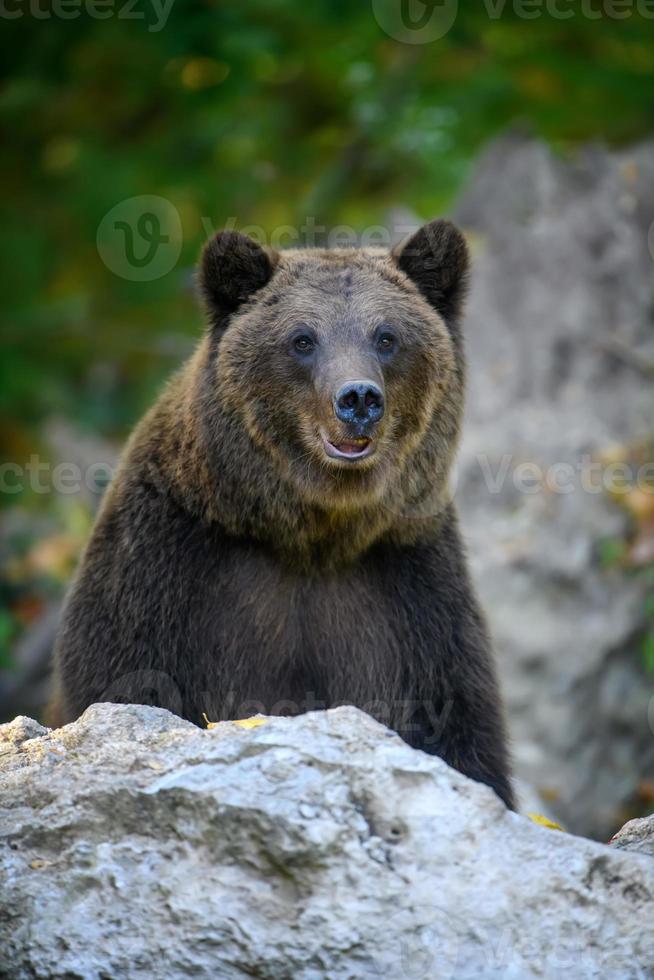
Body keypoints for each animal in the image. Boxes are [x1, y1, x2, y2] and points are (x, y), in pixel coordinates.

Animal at [48, 218, 516, 808]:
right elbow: (128, 680)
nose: (358, 398)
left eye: (386, 336)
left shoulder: (410, 591)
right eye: (302, 339)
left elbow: (460, 732)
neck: (310, 535)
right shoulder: (163, 571)